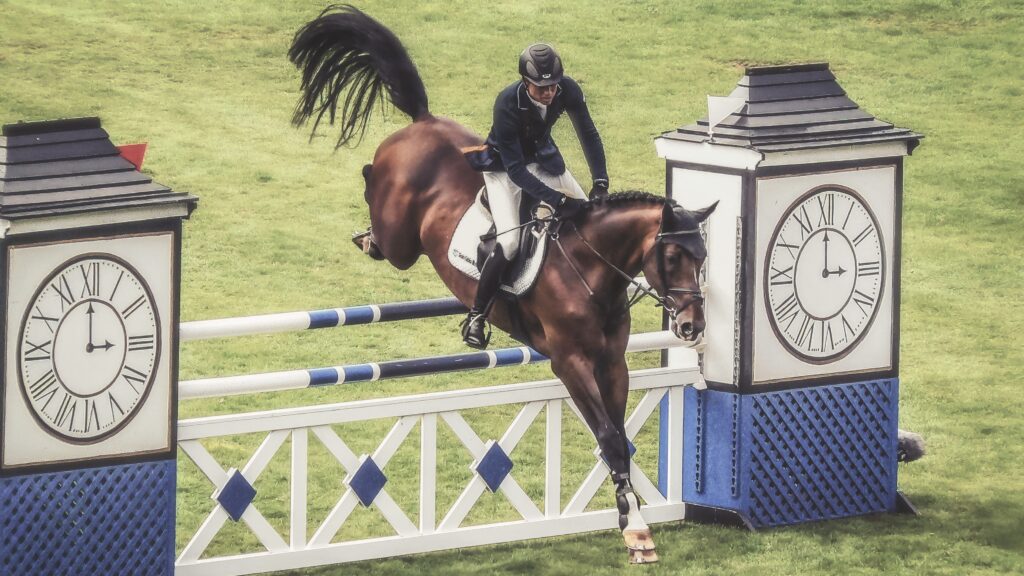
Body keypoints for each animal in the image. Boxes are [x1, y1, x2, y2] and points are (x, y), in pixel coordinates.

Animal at [289, 6, 716, 564]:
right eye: (670, 255)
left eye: (703, 257)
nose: (690, 327)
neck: (589, 270)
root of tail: (423, 121)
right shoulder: (569, 361)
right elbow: (607, 435)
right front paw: (638, 530)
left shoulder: (612, 361)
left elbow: (619, 439)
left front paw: (633, 522)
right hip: (402, 238)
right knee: (380, 216)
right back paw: (367, 235)